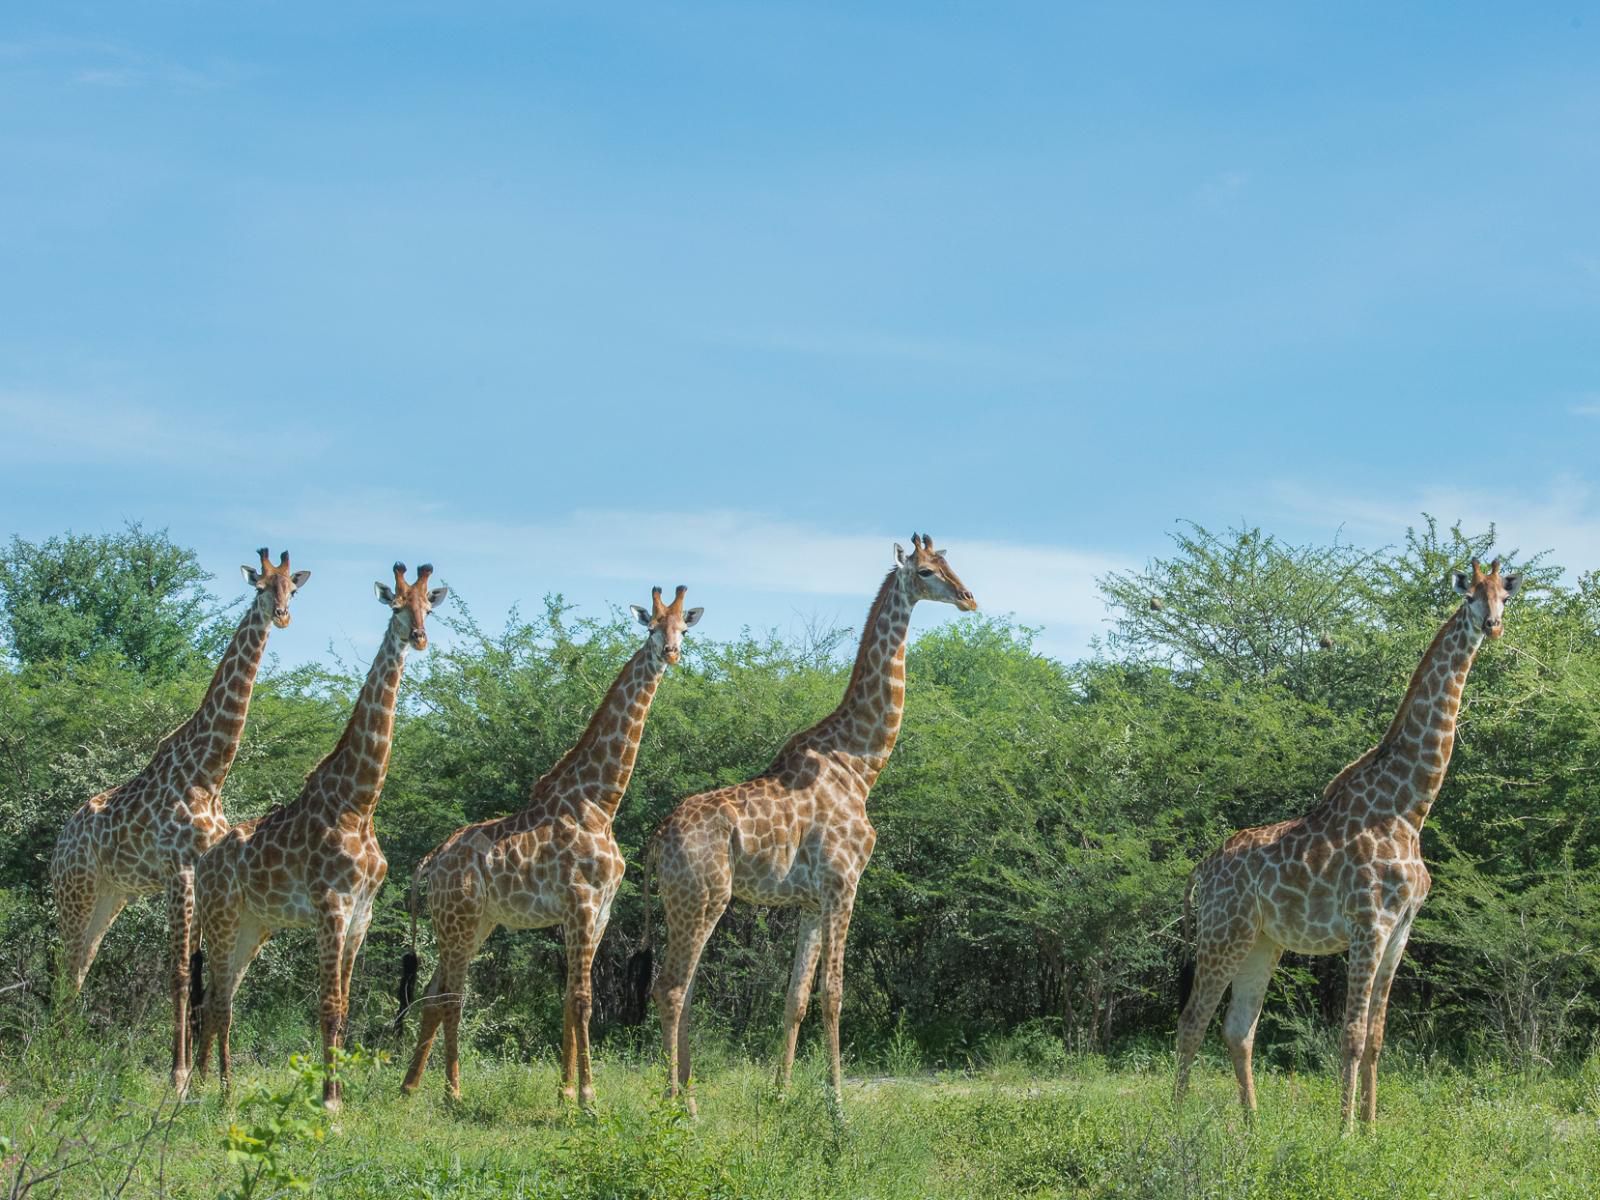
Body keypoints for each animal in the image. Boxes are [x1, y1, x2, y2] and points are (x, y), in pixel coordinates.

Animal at [50, 550, 308, 1094]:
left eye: (292, 590)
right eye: (260, 588)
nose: (281, 616)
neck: (208, 772)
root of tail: (60, 843)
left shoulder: (202, 873)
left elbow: (199, 972)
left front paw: (201, 1076)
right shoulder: (179, 870)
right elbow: (179, 974)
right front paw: (180, 1076)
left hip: (110, 896)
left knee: (80, 966)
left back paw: (61, 1056)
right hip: (75, 891)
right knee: (67, 967)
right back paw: (52, 1059)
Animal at [192, 563, 444, 1107]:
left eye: (428, 609)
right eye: (396, 606)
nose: (418, 638)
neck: (359, 803)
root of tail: (201, 865)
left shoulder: (361, 915)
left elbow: (344, 1007)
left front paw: (339, 1089)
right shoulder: (332, 906)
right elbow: (328, 1006)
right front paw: (329, 1101)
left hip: (253, 927)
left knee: (223, 997)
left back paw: (205, 1086)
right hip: (222, 919)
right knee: (218, 1001)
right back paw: (217, 1092)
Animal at [396, 582, 704, 1107]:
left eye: (683, 627)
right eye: (650, 627)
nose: (670, 652)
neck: (600, 802)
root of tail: (431, 861)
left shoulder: (599, 912)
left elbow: (568, 998)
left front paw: (564, 1092)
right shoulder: (580, 903)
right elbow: (582, 1000)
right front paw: (588, 1099)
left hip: (474, 924)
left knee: (435, 992)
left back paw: (411, 1086)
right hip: (458, 920)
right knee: (450, 994)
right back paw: (453, 1091)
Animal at [630, 534, 966, 1120]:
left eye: (952, 564)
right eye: (926, 572)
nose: (969, 598)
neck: (861, 765)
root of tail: (654, 841)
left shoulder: (810, 901)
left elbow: (796, 997)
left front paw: (782, 1093)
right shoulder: (843, 884)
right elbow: (833, 994)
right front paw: (837, 1105)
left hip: (683, 903)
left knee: (684, 988)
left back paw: (688, 1093)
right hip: (703, 899)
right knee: (669, 988)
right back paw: (678, 1106)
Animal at [1177, 560, 1523, 1132]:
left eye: (1504, 595)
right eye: (1470, 595)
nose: (1492, 626)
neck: (1409, 808)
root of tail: (1200, 872)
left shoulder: (1401, 929)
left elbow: (1378, 1038)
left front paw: (1372, 1127)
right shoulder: (1369, 924)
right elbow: (1353, 1035)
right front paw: (1343, 1133)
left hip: (1262, 941)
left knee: (1237, 1026)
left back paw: (1253, 1126)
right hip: (1224, 933)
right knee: (1192, 1020)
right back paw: (1179, 1121)